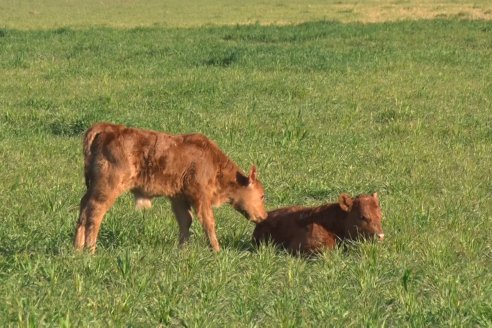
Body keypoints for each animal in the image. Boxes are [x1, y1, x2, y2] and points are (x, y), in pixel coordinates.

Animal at [73, 121, 268, 252]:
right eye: (262, 195)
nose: (264, 216)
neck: (214, 163)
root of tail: (108, 128)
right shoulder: (200, 197)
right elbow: (208, 222)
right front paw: (217, 250)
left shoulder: (178, 197)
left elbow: (185, 221)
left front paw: (182, 249)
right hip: (108, 188)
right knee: (95, 212)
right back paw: (91, 249)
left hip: (93, 188)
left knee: (83, 209)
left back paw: (77, 248)